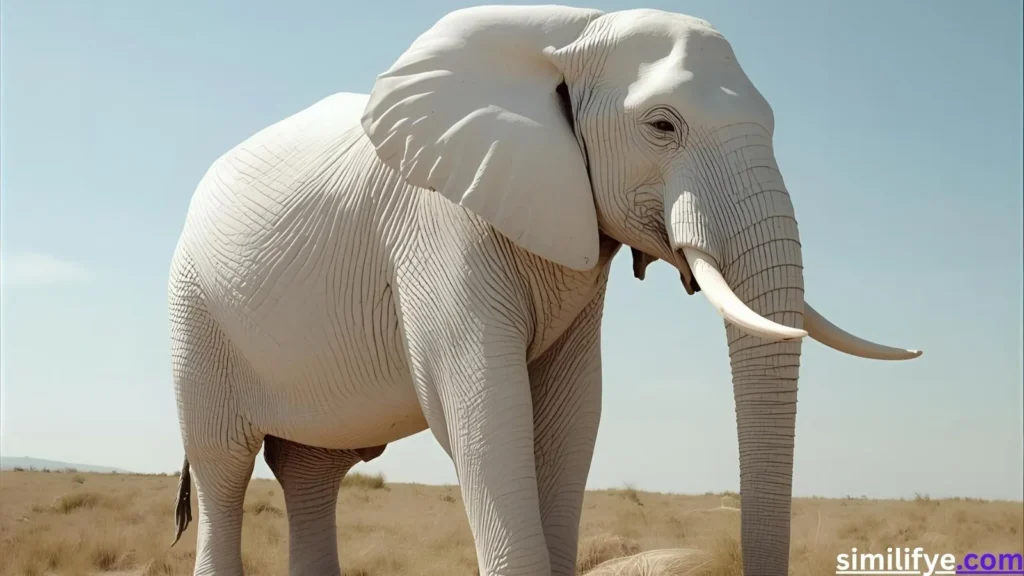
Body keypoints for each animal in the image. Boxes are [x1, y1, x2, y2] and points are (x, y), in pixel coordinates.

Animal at [166, 5, 922, 576]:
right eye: (662, 126)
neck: (572, 33)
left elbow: (570, 413)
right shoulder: (439, 225)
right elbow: (485, 411)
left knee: (311, 471)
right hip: (194, 311)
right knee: (223, 467)